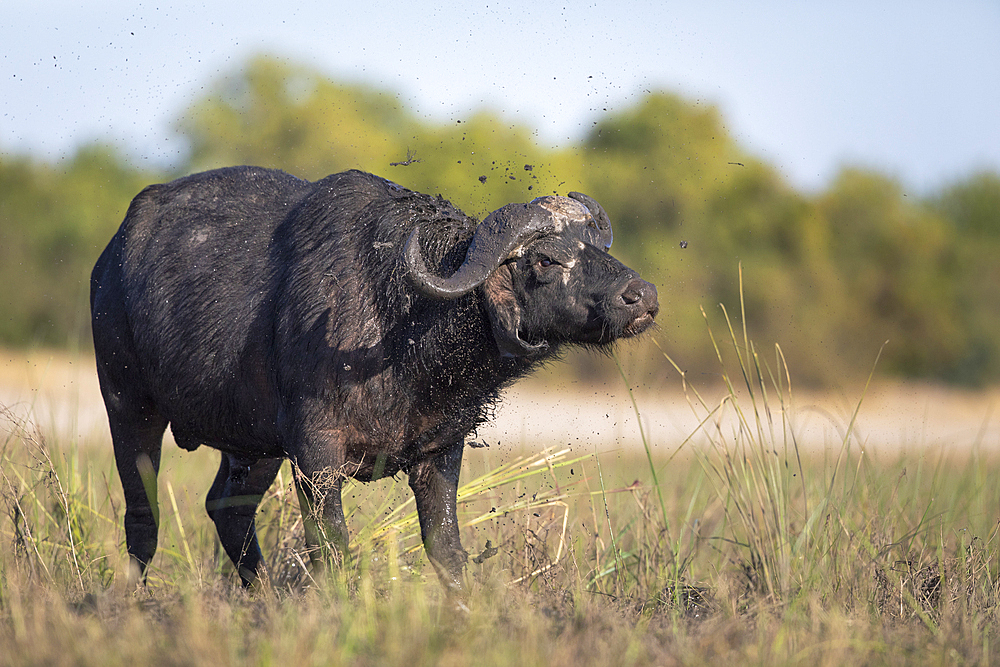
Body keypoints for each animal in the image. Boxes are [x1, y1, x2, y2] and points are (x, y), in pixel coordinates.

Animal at [92, 167, 656, 596]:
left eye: (596, 246)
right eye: (546, 259)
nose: (643, 295)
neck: (402, 325)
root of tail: (112, 253)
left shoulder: (440, 451)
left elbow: (446, 549)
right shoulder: (315, 454)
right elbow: (330, 547)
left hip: (253, 445)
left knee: (228, 511)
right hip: (128, 407)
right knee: (143, 515)